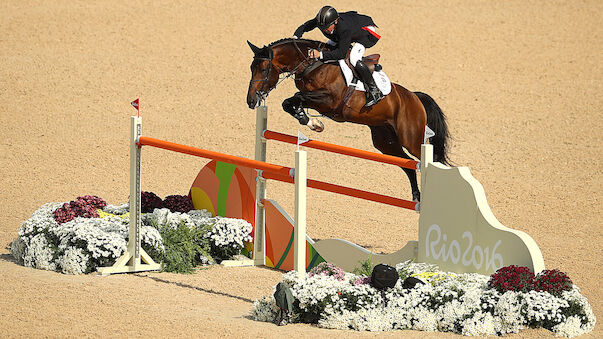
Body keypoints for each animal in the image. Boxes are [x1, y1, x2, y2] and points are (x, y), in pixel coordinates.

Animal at [245, 37, 448, 202]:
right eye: (251, 68)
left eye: (264, 69)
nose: (251, 101)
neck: (312, 65)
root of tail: (414, 97)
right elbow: (290, 102)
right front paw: (312, 122)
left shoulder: (329, 100)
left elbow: (294, 98)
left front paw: (313, 122)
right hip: (386, 142)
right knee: (408, 166)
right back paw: (417, 196)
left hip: (411, 138)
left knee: (429, 159)